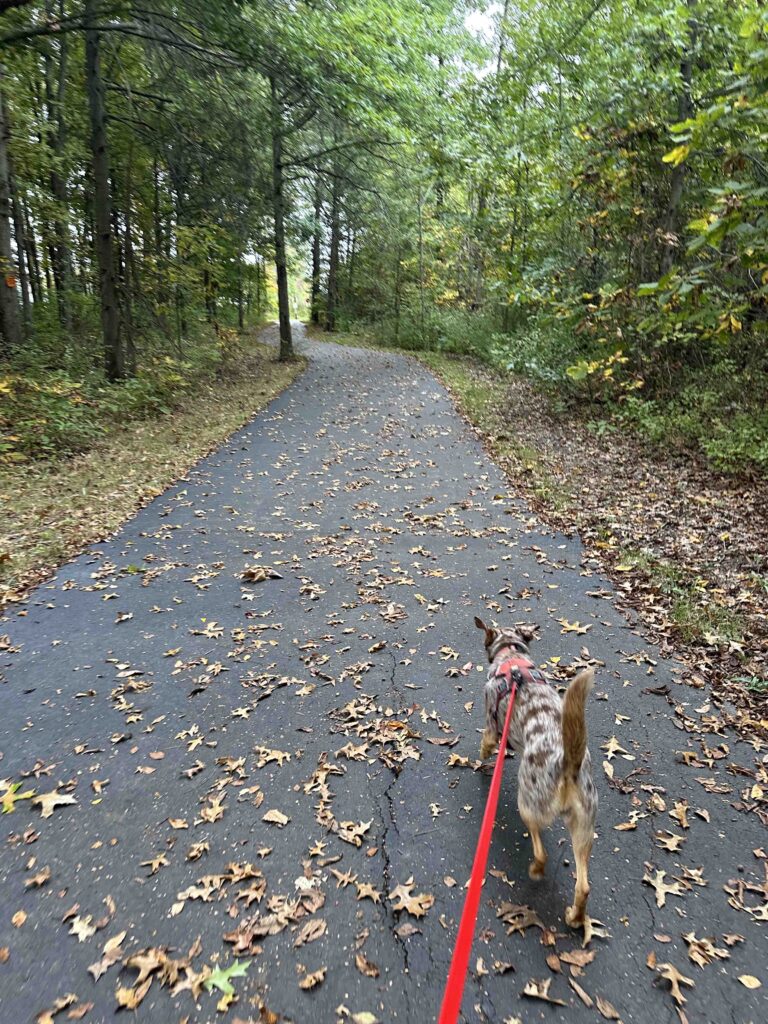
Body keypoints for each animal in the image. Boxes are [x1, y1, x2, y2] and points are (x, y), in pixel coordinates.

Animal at [475, 614, 602, 929]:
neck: (512, 656)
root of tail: (568, 765)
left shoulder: (491, 726)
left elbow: (485, 743)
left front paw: (482, 759)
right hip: (584, 829)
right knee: (583, 886)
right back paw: (574, 916)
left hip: (529, 805)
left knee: (541, 852)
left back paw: (535, 870)